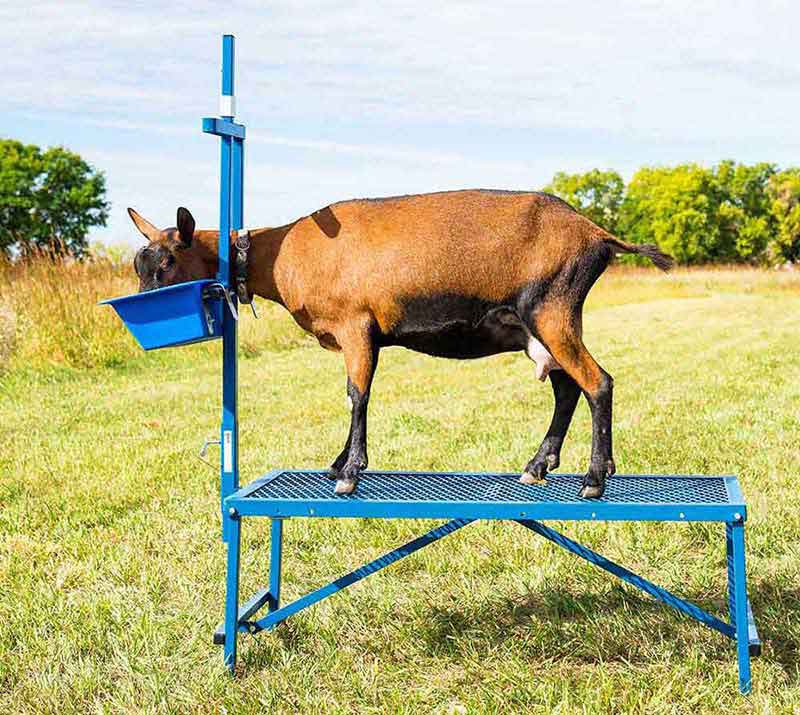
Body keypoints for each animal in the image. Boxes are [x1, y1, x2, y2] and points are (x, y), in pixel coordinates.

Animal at [128, 189, 673, 498]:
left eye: (168, 263)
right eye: (139, 264)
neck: (282, 253)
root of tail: (596, 233)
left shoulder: (356, 326)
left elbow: (356, 395)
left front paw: (349, 471)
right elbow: (355, 396)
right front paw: (336, 464)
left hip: (553, 311)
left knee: (598, 382)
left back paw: (594, 479)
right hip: (537, 328)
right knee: (566, 388)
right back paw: (538, 466)